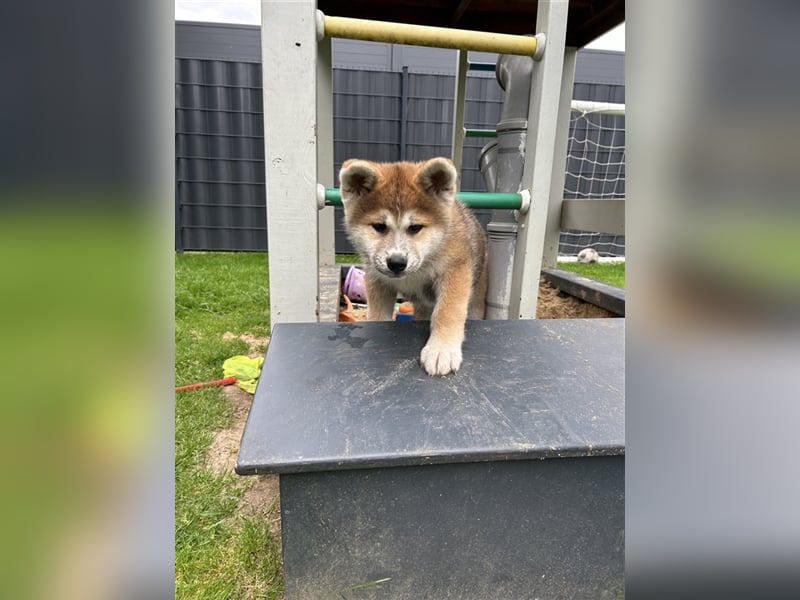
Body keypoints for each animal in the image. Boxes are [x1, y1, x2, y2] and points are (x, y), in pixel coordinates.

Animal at [338, 157, 488, 378]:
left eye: (415, 227)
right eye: (379, 226)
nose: (397, 262)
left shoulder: (455, 270)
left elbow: (448, 311)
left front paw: (442, 349)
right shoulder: (377, 281)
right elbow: (378, 315)